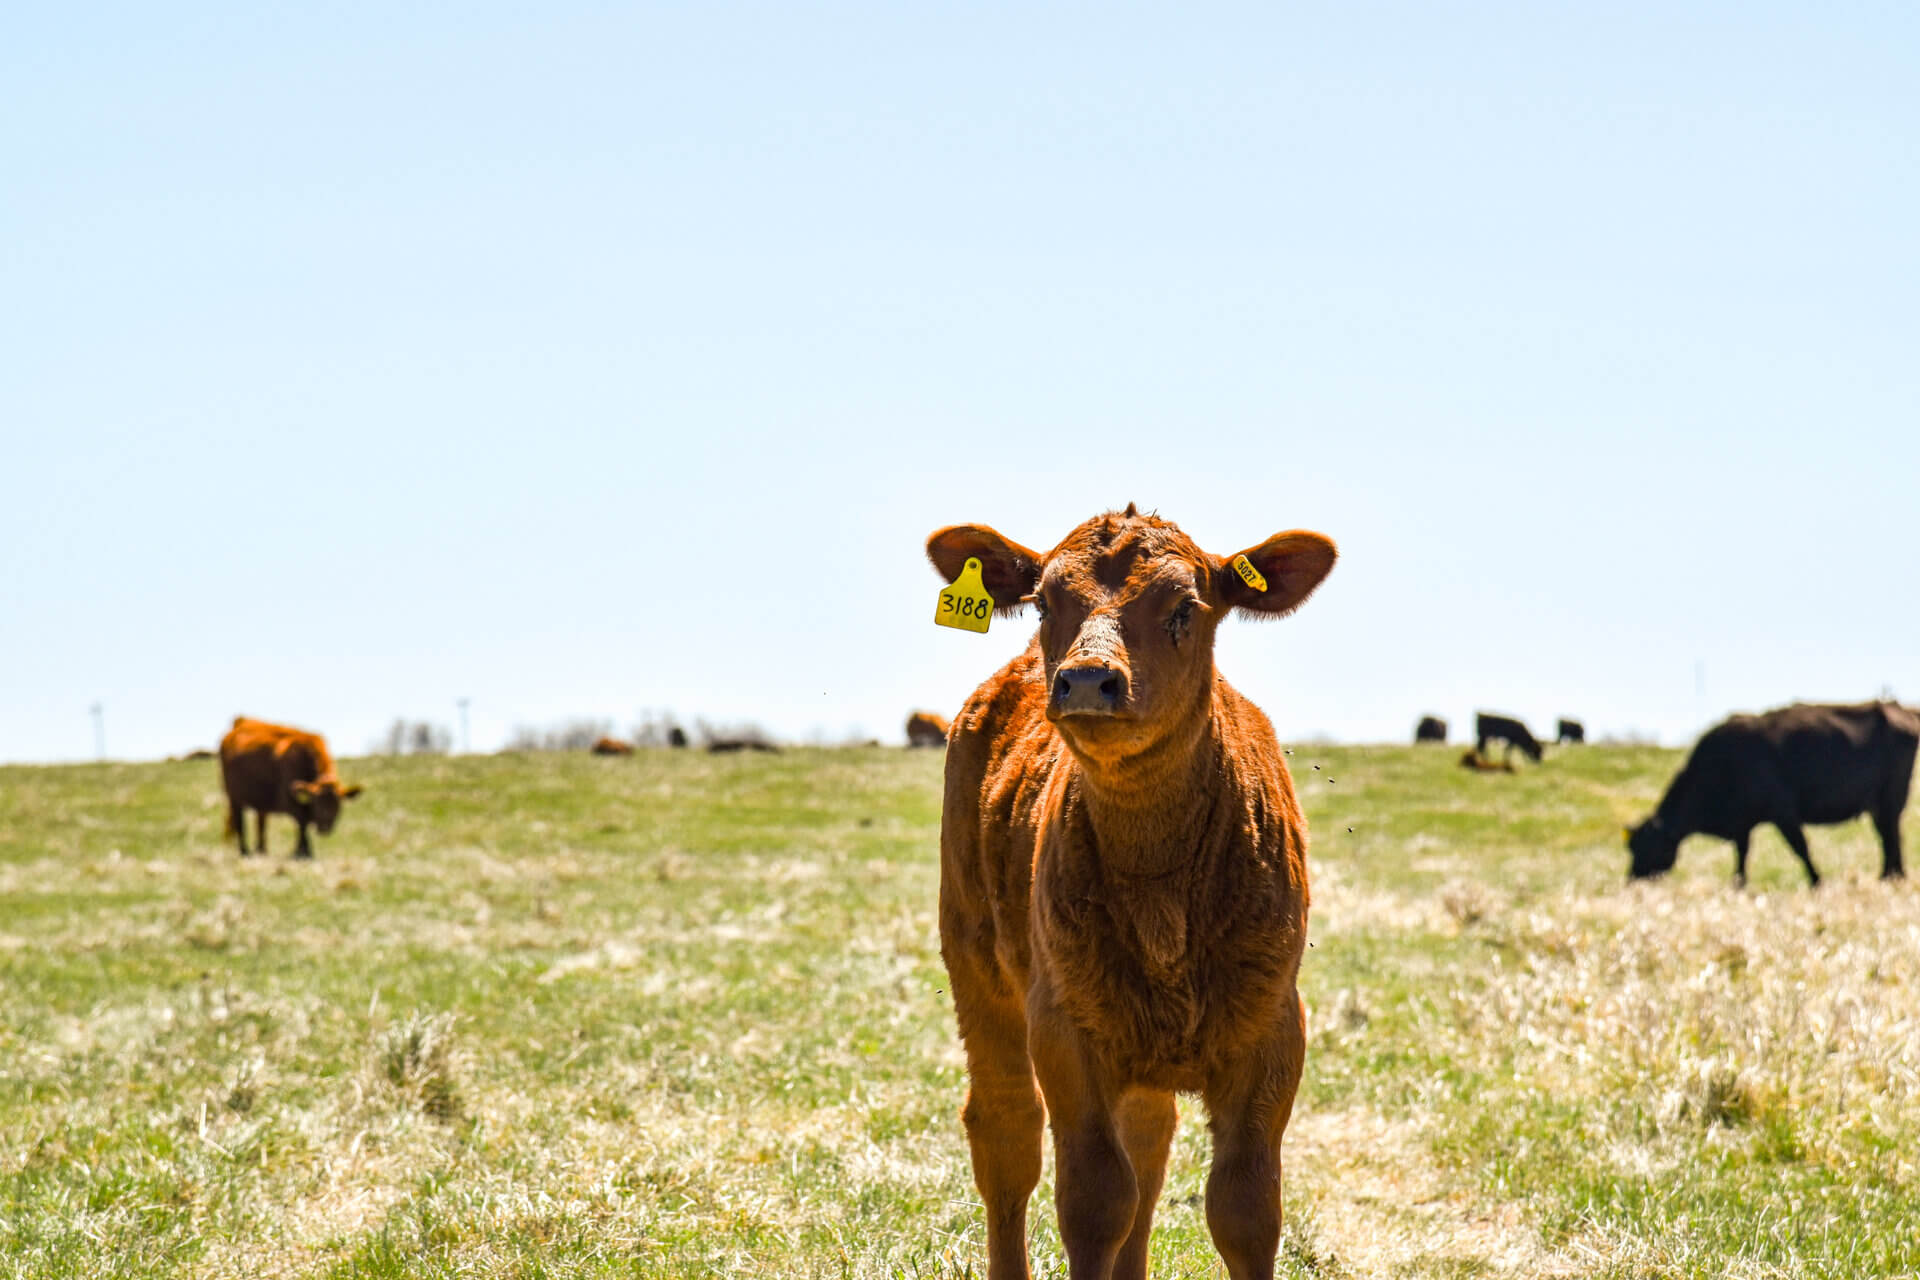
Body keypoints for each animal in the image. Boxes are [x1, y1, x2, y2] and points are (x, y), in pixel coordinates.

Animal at [219, 717, 363, 859]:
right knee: (240, 824)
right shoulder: (289, 801)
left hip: (260, 803)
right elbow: (303, 822)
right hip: (234, 798)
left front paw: (300, 851)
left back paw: (262, 851)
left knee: (261, 823)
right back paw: (245, 851)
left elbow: (302, 824)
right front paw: (304, 852)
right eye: (318, 803)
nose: (325, 827)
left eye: (338, 805)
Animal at [930, 505, 1336, 1280]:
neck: (1162, 896)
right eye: (1043, 603)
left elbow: (1245, 1207)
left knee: (1150, 1139)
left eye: (1184, 608)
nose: (1087, 681)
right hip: (976, 961)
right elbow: (1094, 1200)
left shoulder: (1274, 1026)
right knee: (1006, 1131)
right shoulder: (1064, 1024)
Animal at [1626, 701, 1918, 888]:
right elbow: (1742, 857)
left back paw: (1890, 879)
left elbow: (1801, 848)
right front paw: (1739, 886)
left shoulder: (1783, 812)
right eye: (1631, 847)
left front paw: (1817, 882)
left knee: (1891, 838)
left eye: (1648, 847)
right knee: (1888, 839)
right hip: (1880, 805)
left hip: (1890, 799)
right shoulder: (1742, 824)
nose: (1631, 881)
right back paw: (1890, 878)